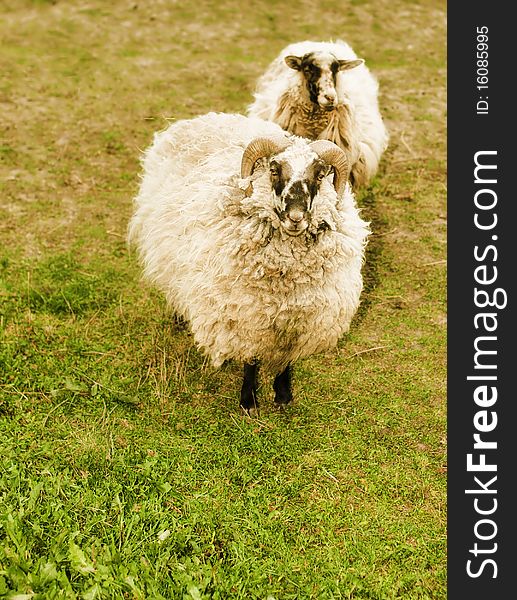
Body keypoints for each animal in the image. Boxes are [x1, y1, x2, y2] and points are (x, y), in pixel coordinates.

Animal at [129, 111, 370, 412]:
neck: (287, 278)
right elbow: (251, 360)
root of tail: (198, 119)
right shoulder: (246, 316)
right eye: (275, 169)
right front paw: (249, 400)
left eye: (319, 174)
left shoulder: (300, 321)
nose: (296, 217)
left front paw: (282, 394)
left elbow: (285, 361)